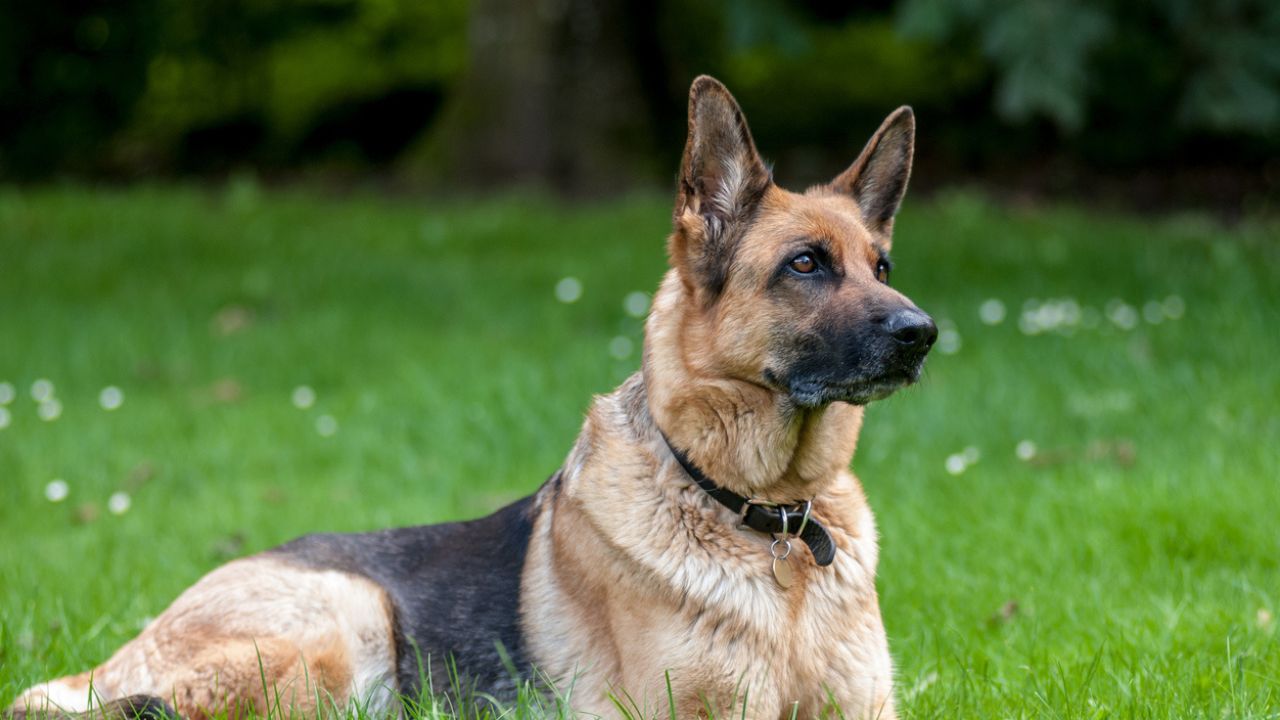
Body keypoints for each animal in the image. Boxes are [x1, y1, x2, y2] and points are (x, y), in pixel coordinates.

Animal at [7, 77, 931, 717]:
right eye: (804, 264)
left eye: (880, 266)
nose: (923, 332)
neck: (770, 521)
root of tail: (114, 659)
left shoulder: (869, 707)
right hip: (343, 621)